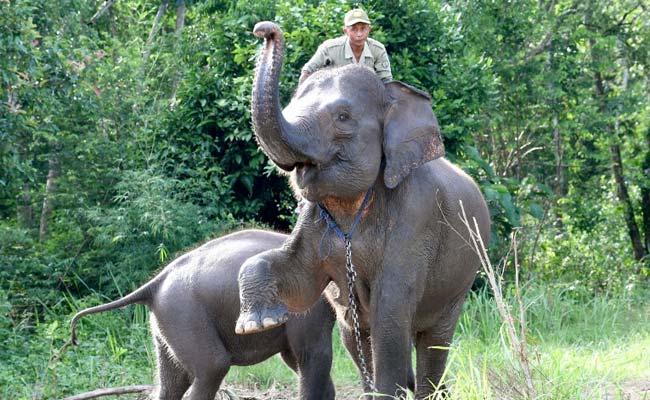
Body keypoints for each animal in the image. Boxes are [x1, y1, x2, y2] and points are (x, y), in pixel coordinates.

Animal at [70, 229, 336, 400]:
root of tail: (155, 283)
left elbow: (297, 357)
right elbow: (311, 354)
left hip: (167, 323)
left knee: (172, 382)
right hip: (185, 315)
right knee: (212, 367)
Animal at [235, 22, 491, 399]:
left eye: (343, 117)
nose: (263, 29)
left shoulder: (418, 217)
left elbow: (391, 306)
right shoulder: (312, 220)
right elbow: (300, 282)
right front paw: (258, 323)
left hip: (462, 276)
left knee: (433, 340)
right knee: (352, 333)